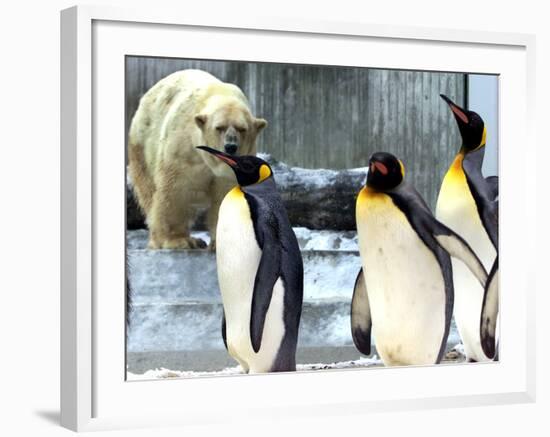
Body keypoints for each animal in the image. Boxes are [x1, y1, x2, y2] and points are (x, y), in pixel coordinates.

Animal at [129, 70, 268, 249]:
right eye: (219, 127)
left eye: (242, 129)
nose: (230, 146)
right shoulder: (184, 150)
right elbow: (176, 190)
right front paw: (178, 241)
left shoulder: (233, 171)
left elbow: (224, 196)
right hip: (142, 146)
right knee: (149, 192)